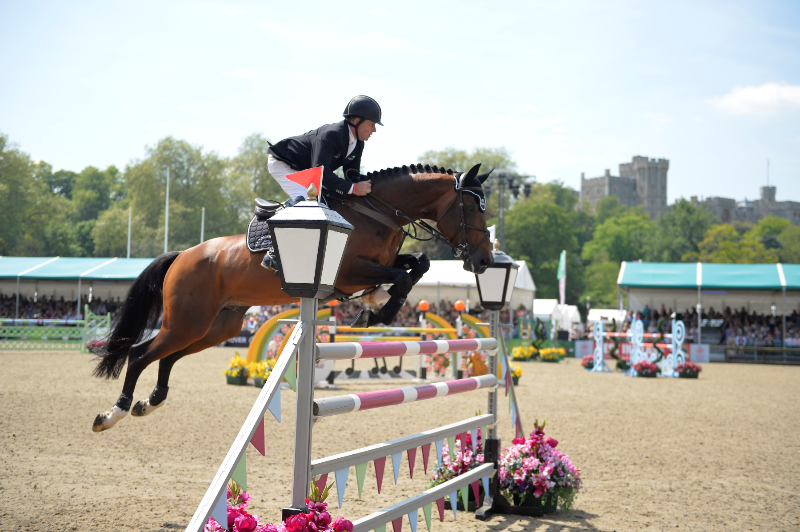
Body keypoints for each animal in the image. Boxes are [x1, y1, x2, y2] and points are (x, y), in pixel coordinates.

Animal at [91, 163, 493, 432]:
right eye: (474, 207)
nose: (485, 261)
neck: (379, 213)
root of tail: (181, 256)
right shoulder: (350, 272)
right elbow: (401, 276)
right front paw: (377, 312)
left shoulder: (380, 262)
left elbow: (417, 264)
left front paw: (373, 304)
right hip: (187, 322)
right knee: (140, 354)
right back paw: (112, 414)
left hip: (216, 326)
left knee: (168, 357)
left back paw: (149, 402)